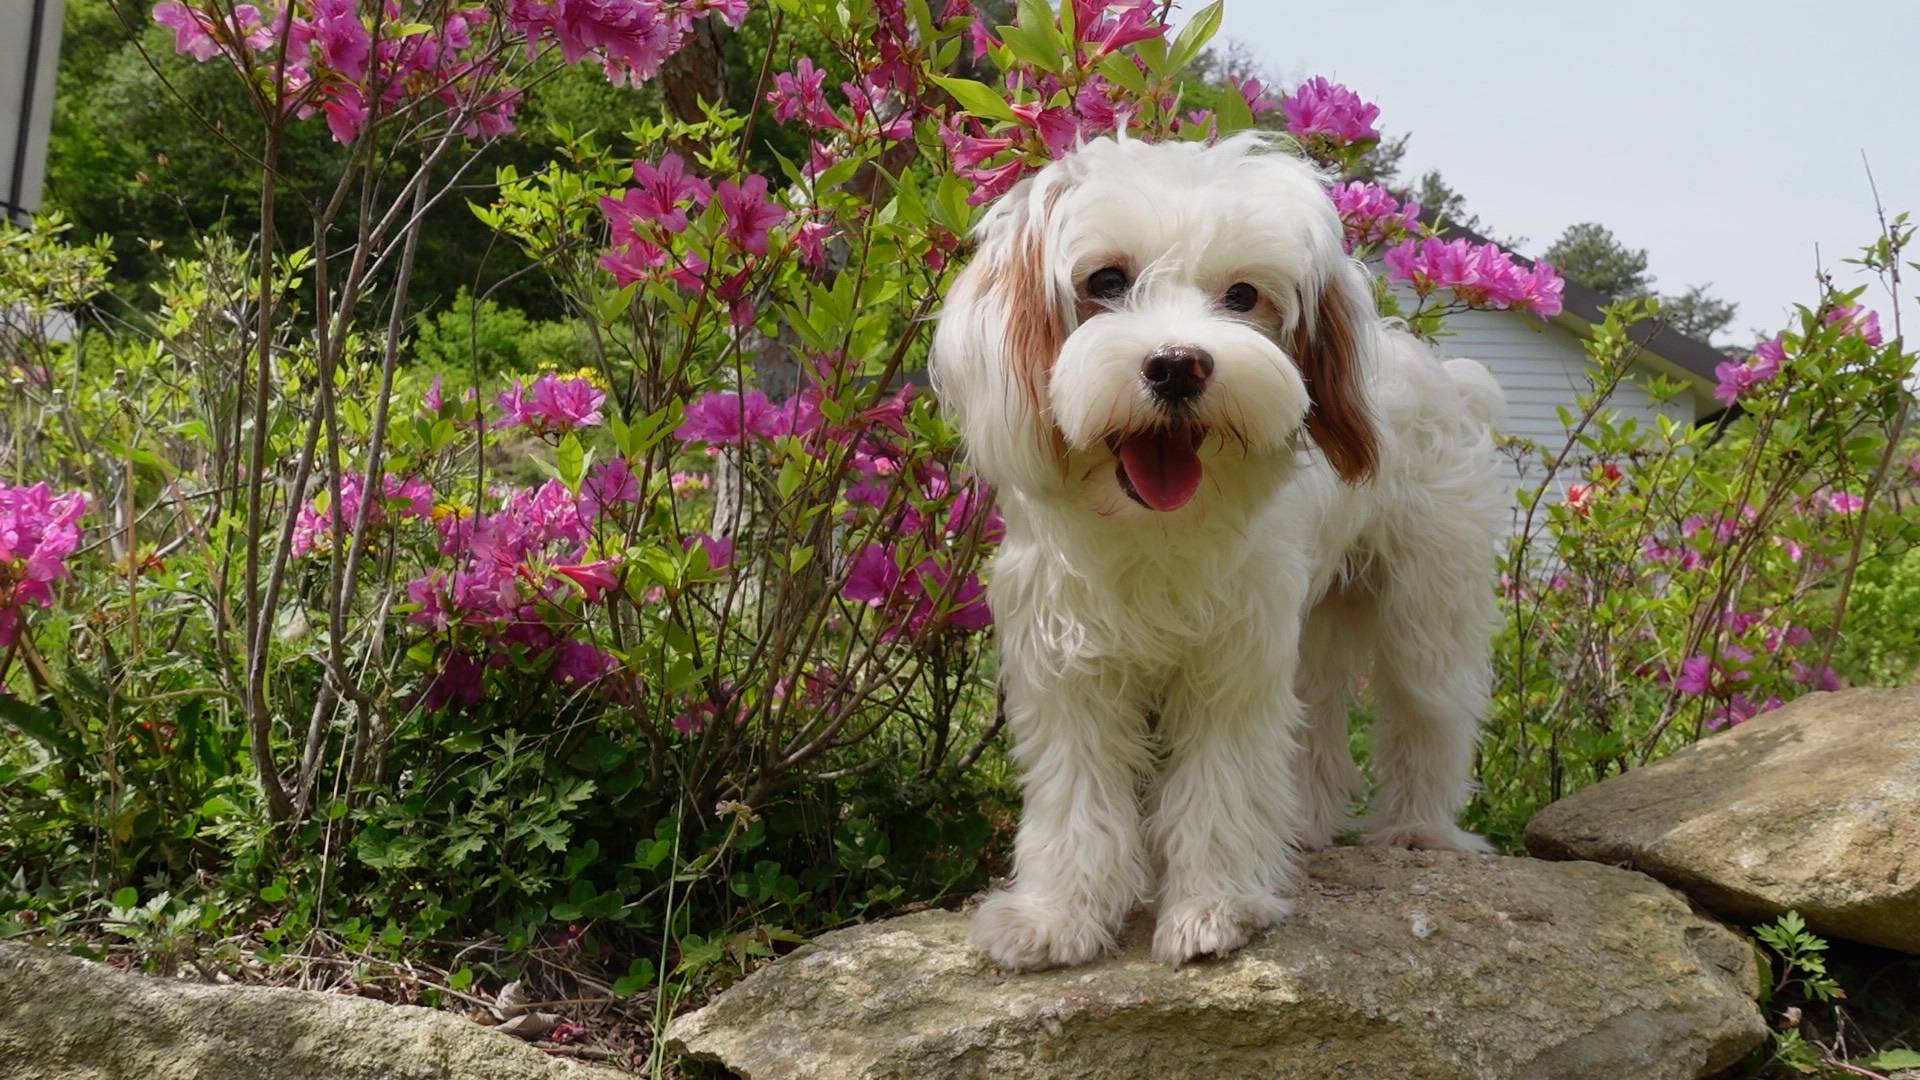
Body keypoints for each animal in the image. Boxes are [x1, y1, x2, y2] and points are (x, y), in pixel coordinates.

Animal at [933, 132, 1512, 968]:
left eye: (1242, 296)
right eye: (1106, 280)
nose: (1178, 364)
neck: (1154, 529)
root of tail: (1446, 374)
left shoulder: (1234, 660)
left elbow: (1222, 780)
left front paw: (1215, 908)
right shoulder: (1068, 664)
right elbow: (1077, 795)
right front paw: (1057, 914)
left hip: (1426, 604)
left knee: (1429, 713)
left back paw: (1418, 829)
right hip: (1317, 622)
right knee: (1318, 727)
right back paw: (1302, 826)